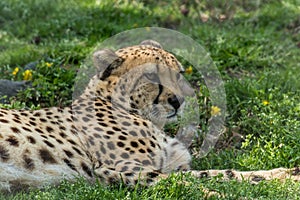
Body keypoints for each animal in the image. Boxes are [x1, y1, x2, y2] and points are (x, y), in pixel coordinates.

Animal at [0, 39, 298, 191]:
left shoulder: (171, 165)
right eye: (152, 77)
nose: (178, 101)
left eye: (178, 73)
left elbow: (225, 172)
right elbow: (194, 181)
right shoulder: (116, 170)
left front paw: (286, 173)